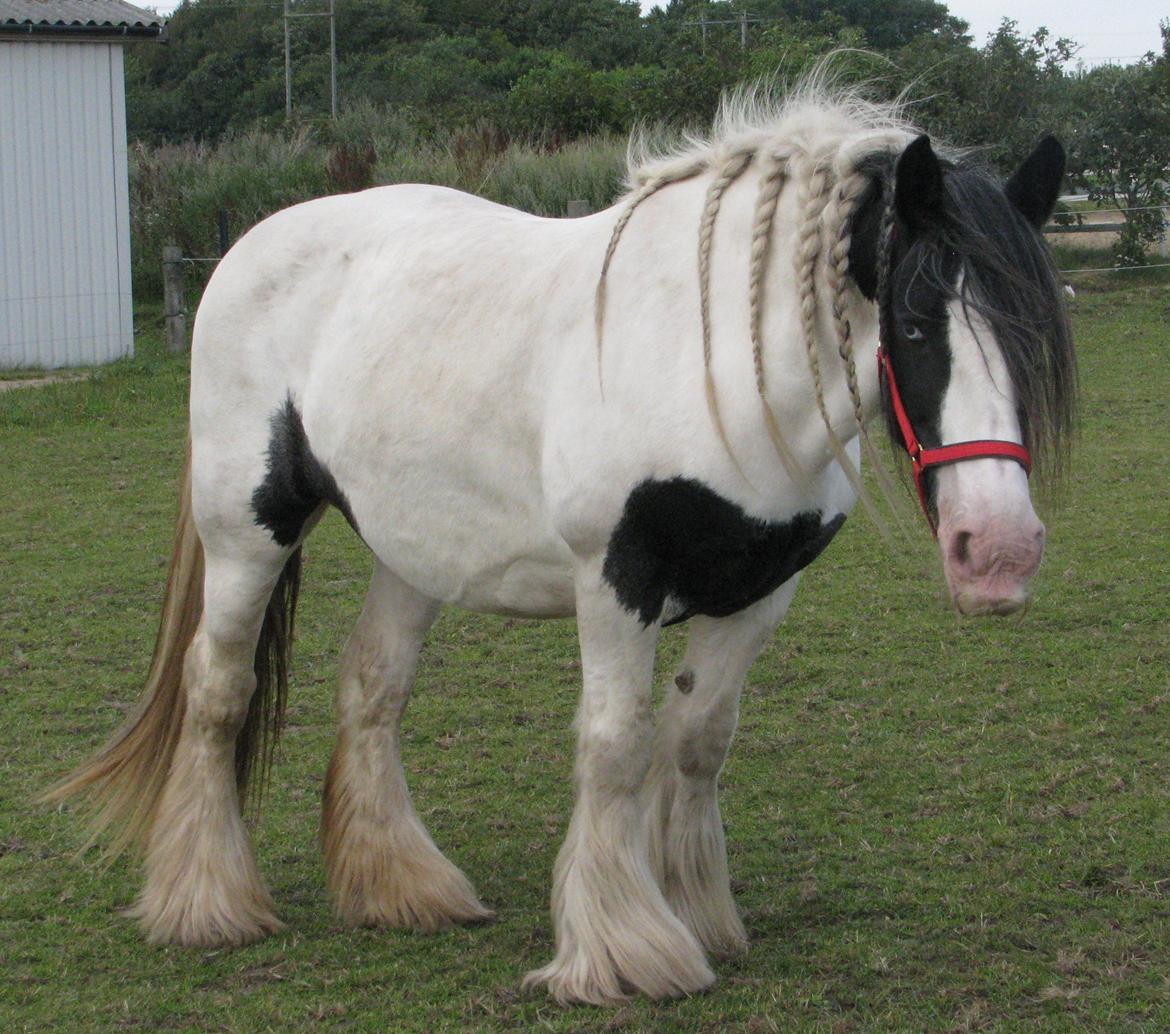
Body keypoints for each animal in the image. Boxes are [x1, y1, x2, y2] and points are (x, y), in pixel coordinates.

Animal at [47, 84, 1076, 1005]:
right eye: (914, 321)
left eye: (1039, 332)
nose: (999, 553)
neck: (714, 366)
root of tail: (251, 246)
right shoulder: (618, 575)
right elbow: (616, 745)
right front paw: (623, 954)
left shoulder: (759, 588)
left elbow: (698, 741)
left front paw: (694, 915)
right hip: (246, 530)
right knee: (218, 689)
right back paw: (207, 903)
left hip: (412, 549)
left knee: (372, 687)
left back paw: (402, 888)